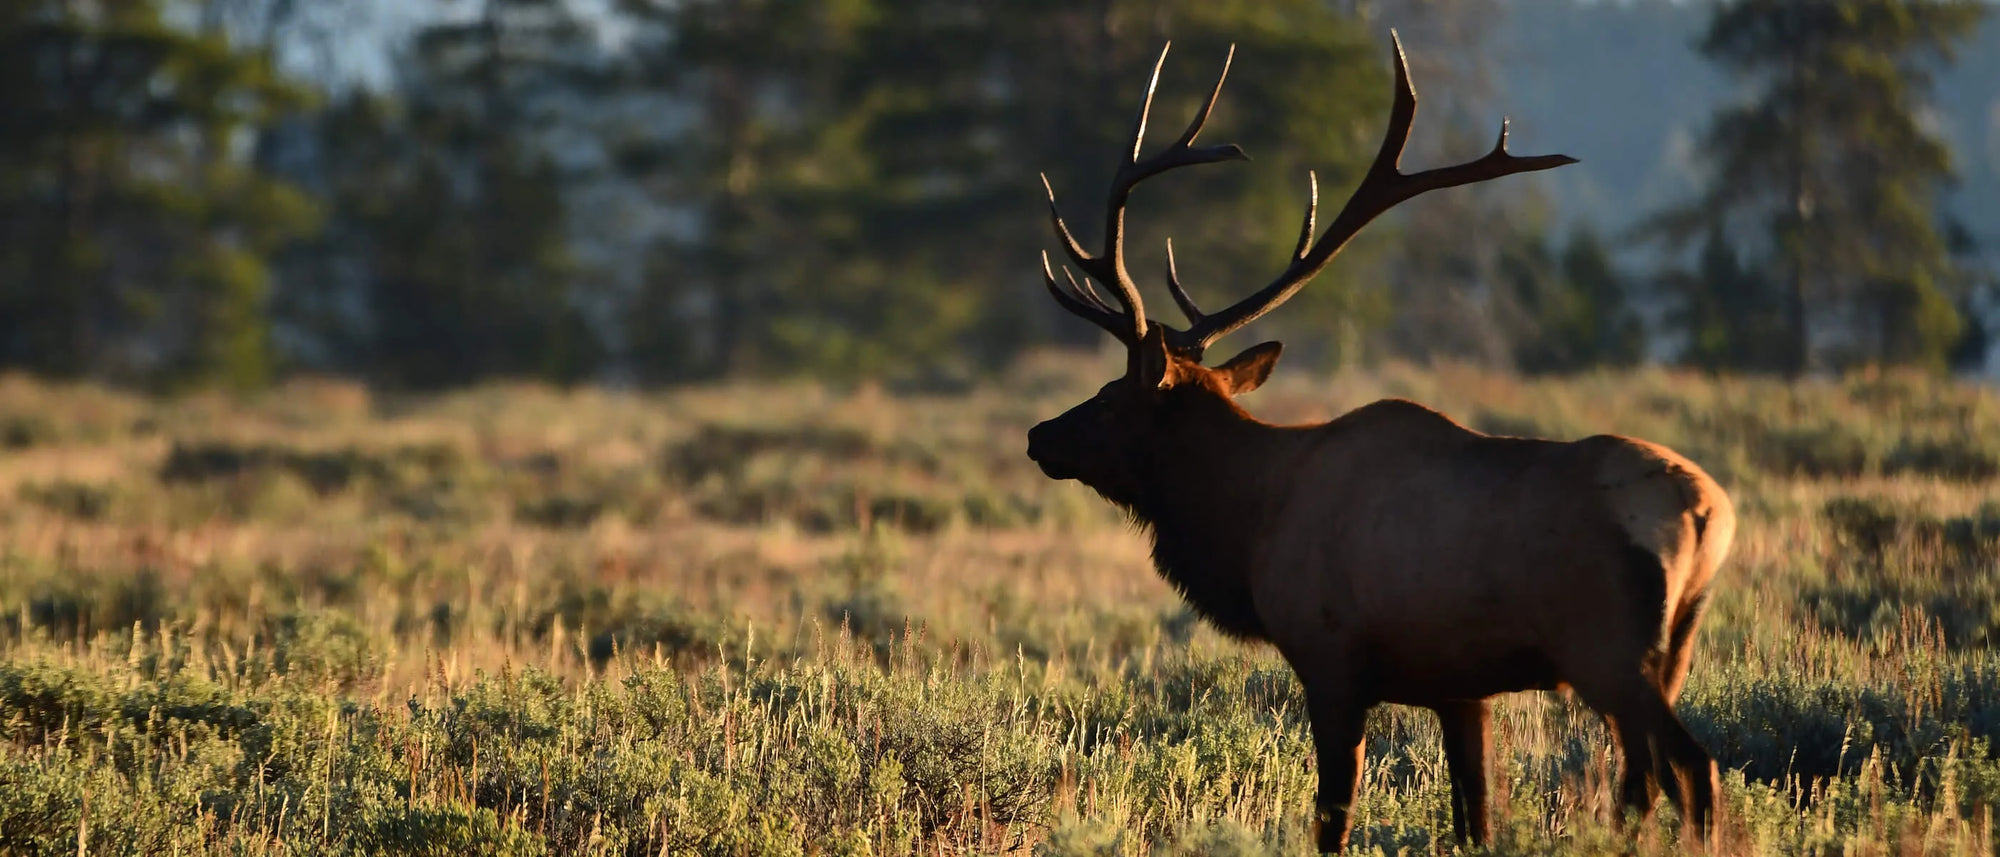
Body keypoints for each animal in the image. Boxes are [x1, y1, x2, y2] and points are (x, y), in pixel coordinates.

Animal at [1024, 36, 1735, 853]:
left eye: (1111, 399)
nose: (1039, 435)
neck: (1250, 527)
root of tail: (1707, 513)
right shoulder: (1460, 688)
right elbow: (1473, 816)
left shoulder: (1331, 660)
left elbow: (1332, 818)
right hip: (1672, 646)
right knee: (1646, 777)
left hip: (1609, 650)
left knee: (1691, 766)